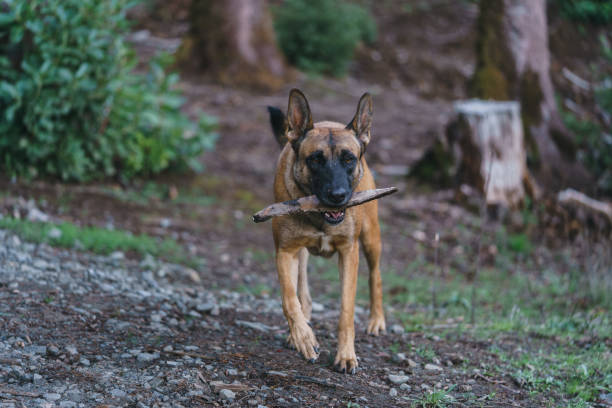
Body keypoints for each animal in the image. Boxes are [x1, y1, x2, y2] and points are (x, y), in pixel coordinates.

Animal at [266, 89, 384, 372]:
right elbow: (290, 299)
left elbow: (346, 310)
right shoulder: (285, 251)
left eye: (349, 159)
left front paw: (346, 355)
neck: (320, 216)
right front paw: (303, 337)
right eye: (315, 160)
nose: (338, 196)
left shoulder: (349, 252)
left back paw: (376, 320)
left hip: (371, 238)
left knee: (375, 275)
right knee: (302, 293)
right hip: (301, 253)